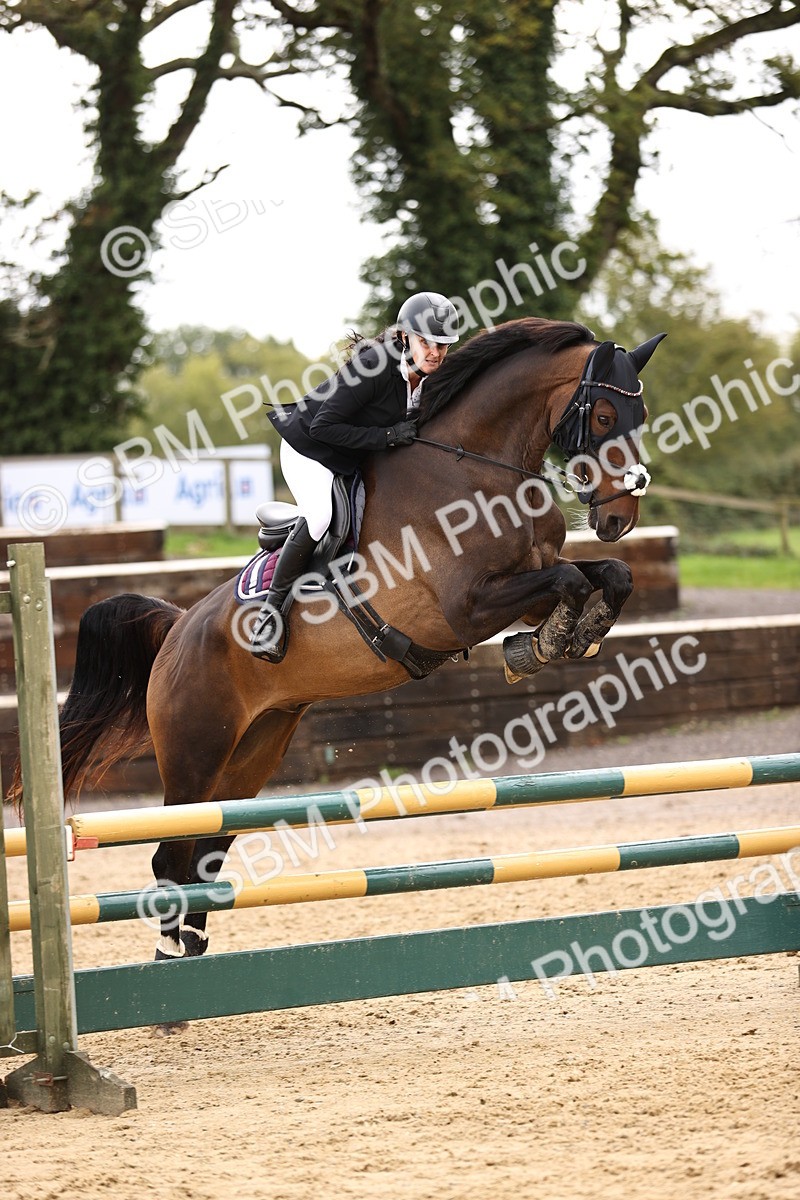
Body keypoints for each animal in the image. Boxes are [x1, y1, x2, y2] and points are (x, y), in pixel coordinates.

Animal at [30, 317, 666, 967]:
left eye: (639, 415)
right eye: (605, 416)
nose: (621, 516)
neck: (479, 468)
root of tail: (178, 630)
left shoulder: (528, 579)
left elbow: (608, 576)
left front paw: (572, 634)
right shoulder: (468, 608)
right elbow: (569, 582)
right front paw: (545, 645)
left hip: (252, 751)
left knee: (206, 852)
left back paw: (194, 949)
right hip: (194, 754)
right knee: (170, 855)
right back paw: (167, 962)